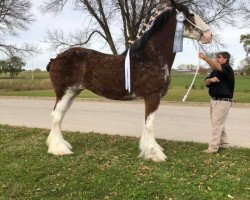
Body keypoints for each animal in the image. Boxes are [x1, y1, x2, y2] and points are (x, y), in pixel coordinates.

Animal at [46, 0, 212, 162]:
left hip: (73, 93)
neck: (151, 57)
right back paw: (59, 149)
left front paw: (147, 149)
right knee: (56, 116)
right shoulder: (153, 96)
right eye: (191, 14)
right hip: (65, 93)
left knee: (60, 116)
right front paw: (154, 154)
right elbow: (150, 124)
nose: (209, 34)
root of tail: (55, 59)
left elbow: (146, 123)